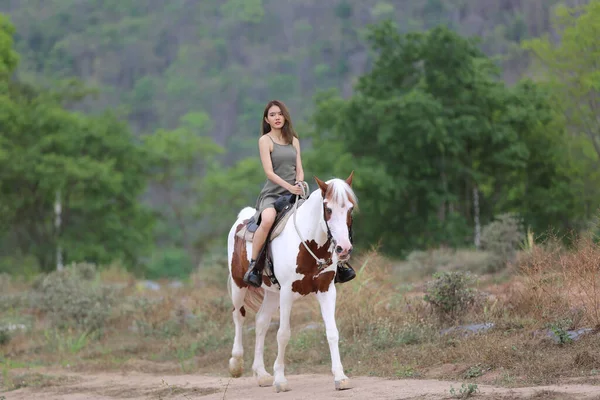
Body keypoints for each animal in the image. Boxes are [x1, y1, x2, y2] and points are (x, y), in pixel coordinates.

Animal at [225, 171, 356, 390]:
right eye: (328, 208)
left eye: (350, 208)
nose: (344, 248)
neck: (309, 243)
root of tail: (241, 219)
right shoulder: (287, 292)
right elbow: (283, 334)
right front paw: (280, 380)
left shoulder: (326, 290)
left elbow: (332, 332)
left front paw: (340, 377)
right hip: (238, 284)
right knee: (238, 315)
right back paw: (236, 364)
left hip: (271, 293)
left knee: (261, 322)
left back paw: (262, 374)